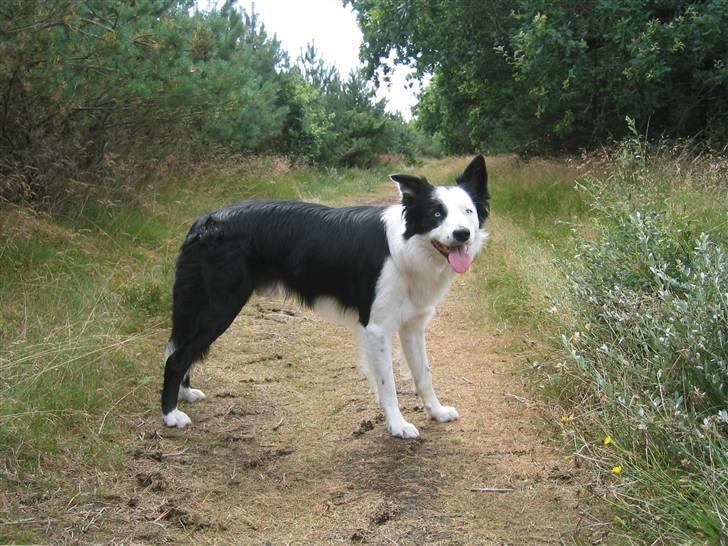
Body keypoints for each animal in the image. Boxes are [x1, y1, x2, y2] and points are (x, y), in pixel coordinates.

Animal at [160, 153, 490, 438]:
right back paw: (170, 415)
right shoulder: (377, 328)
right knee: (177, 358)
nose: (462, 234)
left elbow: (424, 374)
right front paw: (397, 425)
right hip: (218, 306)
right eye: (436, 214)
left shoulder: (412, 325)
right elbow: (388, 383)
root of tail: (204, 221)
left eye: (469, 212)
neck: (408, 248)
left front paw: (436, 412)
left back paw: (184, 394)